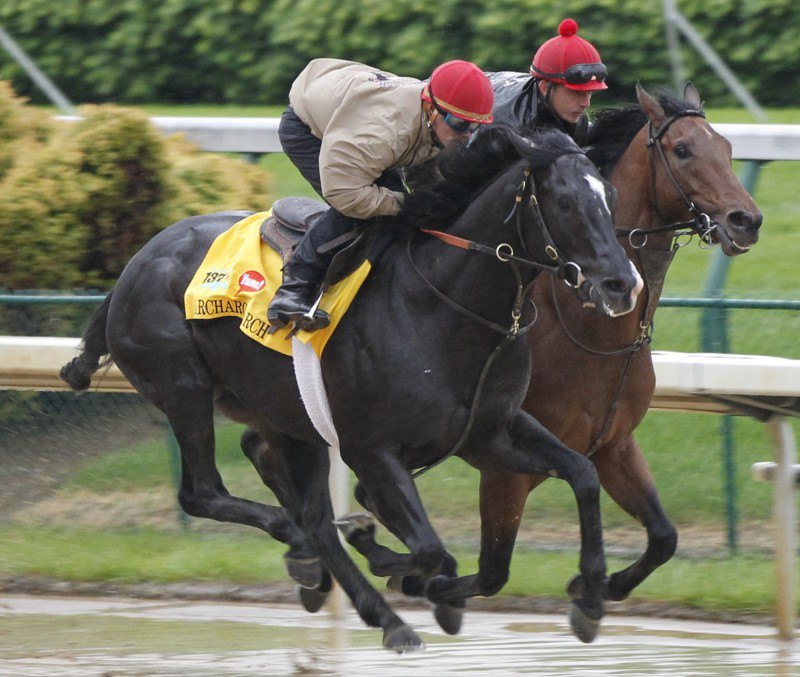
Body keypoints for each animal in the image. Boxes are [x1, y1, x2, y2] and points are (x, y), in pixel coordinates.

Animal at [62, 127, 640, 648]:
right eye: (564, 201)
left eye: (611, 198)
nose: (622, 284)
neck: (444, 305)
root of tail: (135, 265)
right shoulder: (372, 449)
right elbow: (429, 548)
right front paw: (402, 564)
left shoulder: (488, 433)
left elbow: (582, 475)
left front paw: (591, 595)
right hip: (185, 388)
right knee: (212, 495)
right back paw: (333, 572)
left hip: (281, 416)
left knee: (302, 504)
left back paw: (357, 597)